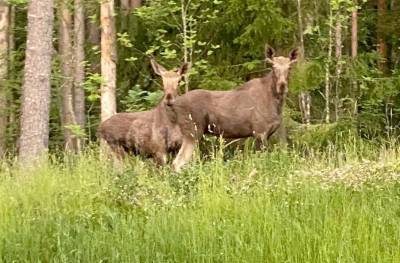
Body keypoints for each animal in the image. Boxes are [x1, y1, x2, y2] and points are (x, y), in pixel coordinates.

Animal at [167, 46, 298, 172]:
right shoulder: (260, 132)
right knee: (177, 162)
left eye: (290, 67)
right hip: (192, 132)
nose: (282, 86)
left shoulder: (267, 133)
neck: (276, 103)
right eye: (273, 67)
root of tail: (174, 104)